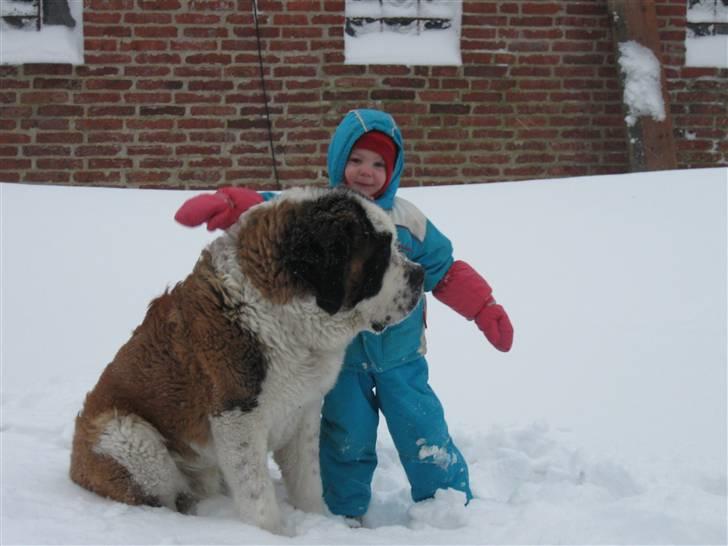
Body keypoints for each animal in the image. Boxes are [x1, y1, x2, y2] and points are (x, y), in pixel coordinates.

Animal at [70, 187, 424, 532]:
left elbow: (307, 482)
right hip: (130, 439)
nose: (420, 274)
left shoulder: (303, 411)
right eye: (380, 253)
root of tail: (74, 469)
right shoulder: (237, 417)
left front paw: (321, 522)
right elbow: (258, 496)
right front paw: (272, 535)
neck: (280, 315)